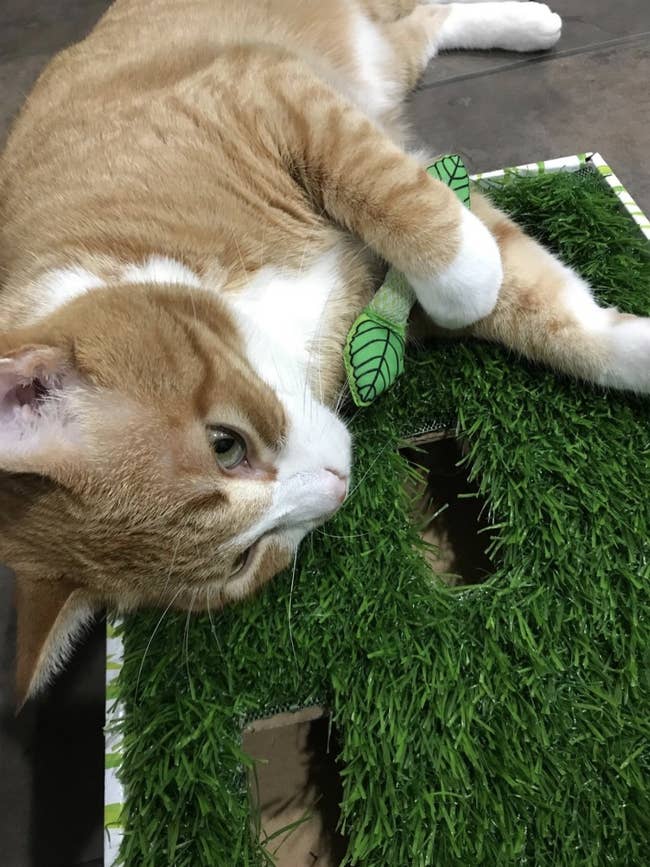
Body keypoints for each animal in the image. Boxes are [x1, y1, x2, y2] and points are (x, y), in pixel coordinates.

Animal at [0, 1, 644, 704]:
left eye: (224, 444)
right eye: (243, 559)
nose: (336, 487)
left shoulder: (275, 98)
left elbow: (414, 210)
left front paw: (470, 275)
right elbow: (546, 312)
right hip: (382, 62)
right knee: (420, 26)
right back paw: (528, 25)